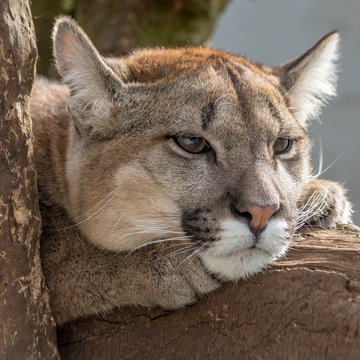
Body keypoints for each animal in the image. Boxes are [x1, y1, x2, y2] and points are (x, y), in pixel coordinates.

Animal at [31, 16, 352, 324]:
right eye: (192, 143)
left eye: (282, 144)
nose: (262, 213)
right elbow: (59, 251)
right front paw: (164, 266)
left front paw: (319, 197)